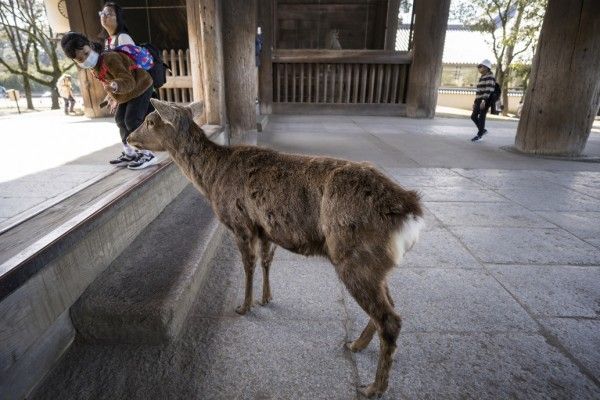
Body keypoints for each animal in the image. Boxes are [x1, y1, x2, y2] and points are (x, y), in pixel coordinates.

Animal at [128, 99, 424, 396]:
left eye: (150, 121)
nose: (129, 137)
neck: (211, 182)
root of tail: (411, 210)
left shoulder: (241, 223)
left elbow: (248, 265)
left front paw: (244, 306)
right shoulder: (265, 229)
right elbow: (266, 260)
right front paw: (266, 298)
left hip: (354, 257)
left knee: (390, 319)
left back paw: (373, 387)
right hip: (375, 264)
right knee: (389, 305)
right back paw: (356, 345)